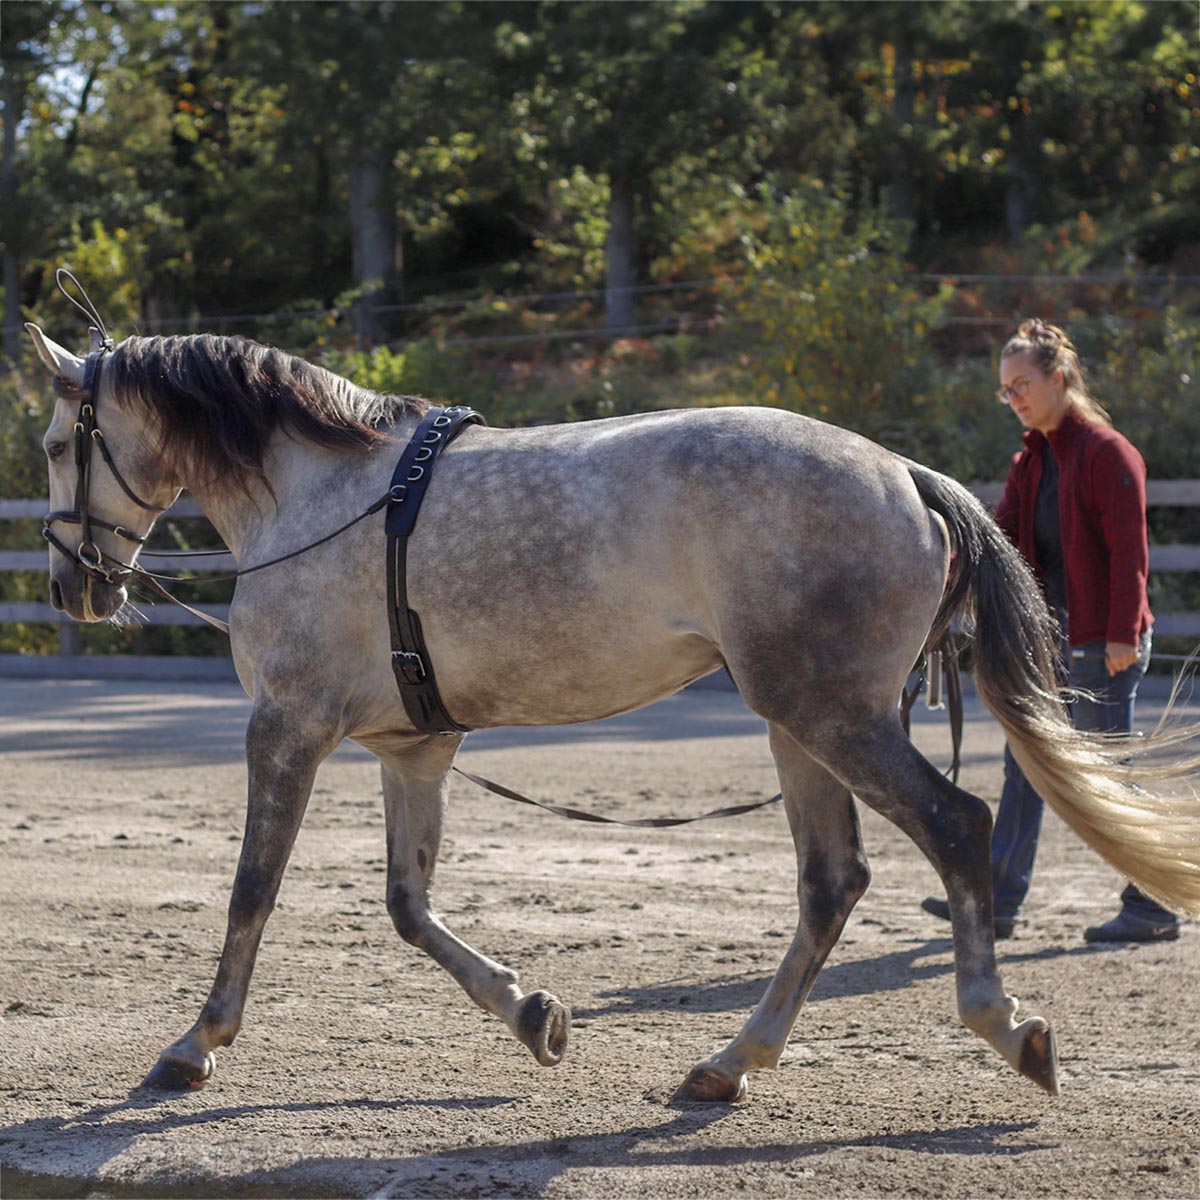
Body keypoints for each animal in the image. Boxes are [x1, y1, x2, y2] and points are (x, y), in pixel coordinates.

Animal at [28, 321, 1200, 1104]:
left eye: (52, 445)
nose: (73, 586)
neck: (324, 497)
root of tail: (906, 476)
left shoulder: (287, 727)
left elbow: (252, 893)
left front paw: (195, 1042)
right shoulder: (414, 748)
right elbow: (409, 908)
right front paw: (532, 1014)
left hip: (833, 717)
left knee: (956, 828)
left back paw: (1003, 1027)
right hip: (798, 723)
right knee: (833, 882)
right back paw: (729, 1064)